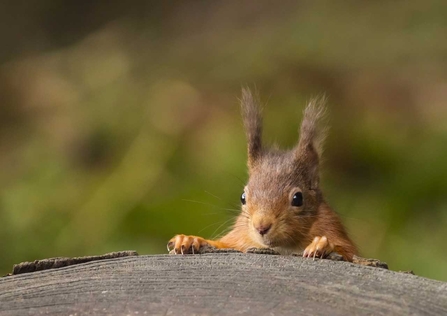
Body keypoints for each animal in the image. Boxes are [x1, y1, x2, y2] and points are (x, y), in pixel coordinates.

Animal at [167, 87, 356, 260]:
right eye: (243, 197)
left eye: (298, 198)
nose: (261, 227)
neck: (282, 246)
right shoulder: (238, 238)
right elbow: (222, 243)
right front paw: (190, 239)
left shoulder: (330, 225)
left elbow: (346, 251)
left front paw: (322, 245)